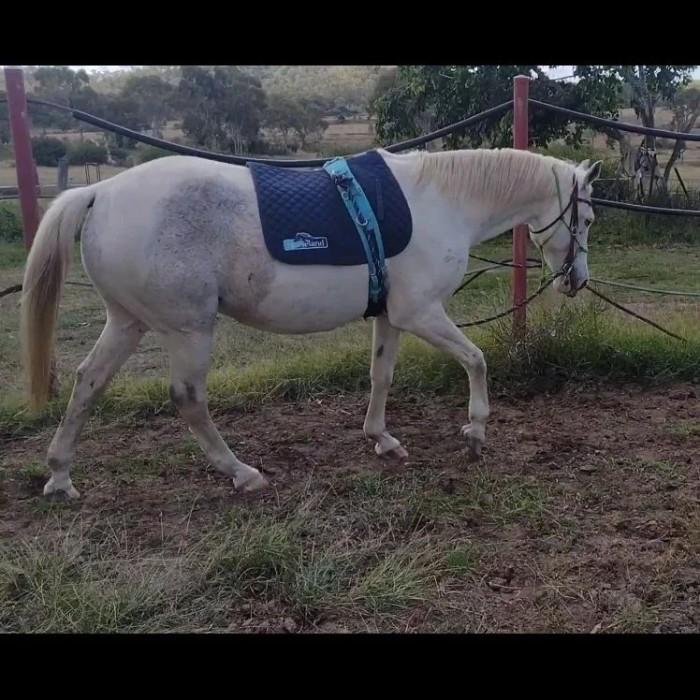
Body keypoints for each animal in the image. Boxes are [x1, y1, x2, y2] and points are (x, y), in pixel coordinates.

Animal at [20, 147, 601, 500]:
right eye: (589, 218)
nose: (578, 280)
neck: (443, 203)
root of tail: (100, 193)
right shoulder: (422, 313)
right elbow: (476, 360)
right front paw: (476, 431)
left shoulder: (391, 316)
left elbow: (381, 376)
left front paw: (382, 439)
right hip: (188, 330)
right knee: (188, 399)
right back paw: (241, 472)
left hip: (128, 323)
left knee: (88, 383)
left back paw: (60, 474)